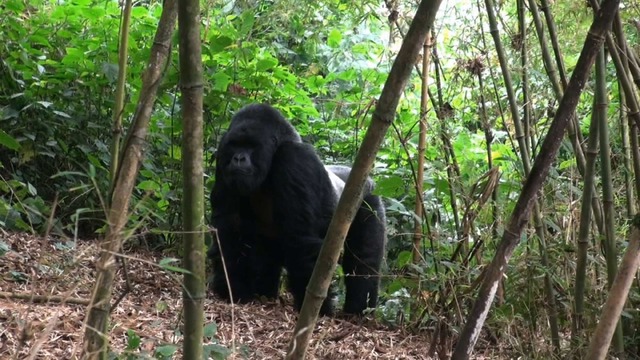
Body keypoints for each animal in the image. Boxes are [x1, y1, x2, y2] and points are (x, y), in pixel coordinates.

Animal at [209, 103, 384, 316]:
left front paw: (317, 309)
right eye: (235, 145)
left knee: (363, 262)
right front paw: (231, 288)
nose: (238, 158)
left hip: (369, 200)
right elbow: (228, 226)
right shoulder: (222, 157)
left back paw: (358, 311)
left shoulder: (295, 159)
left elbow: (301, 240)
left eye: (251, 146)